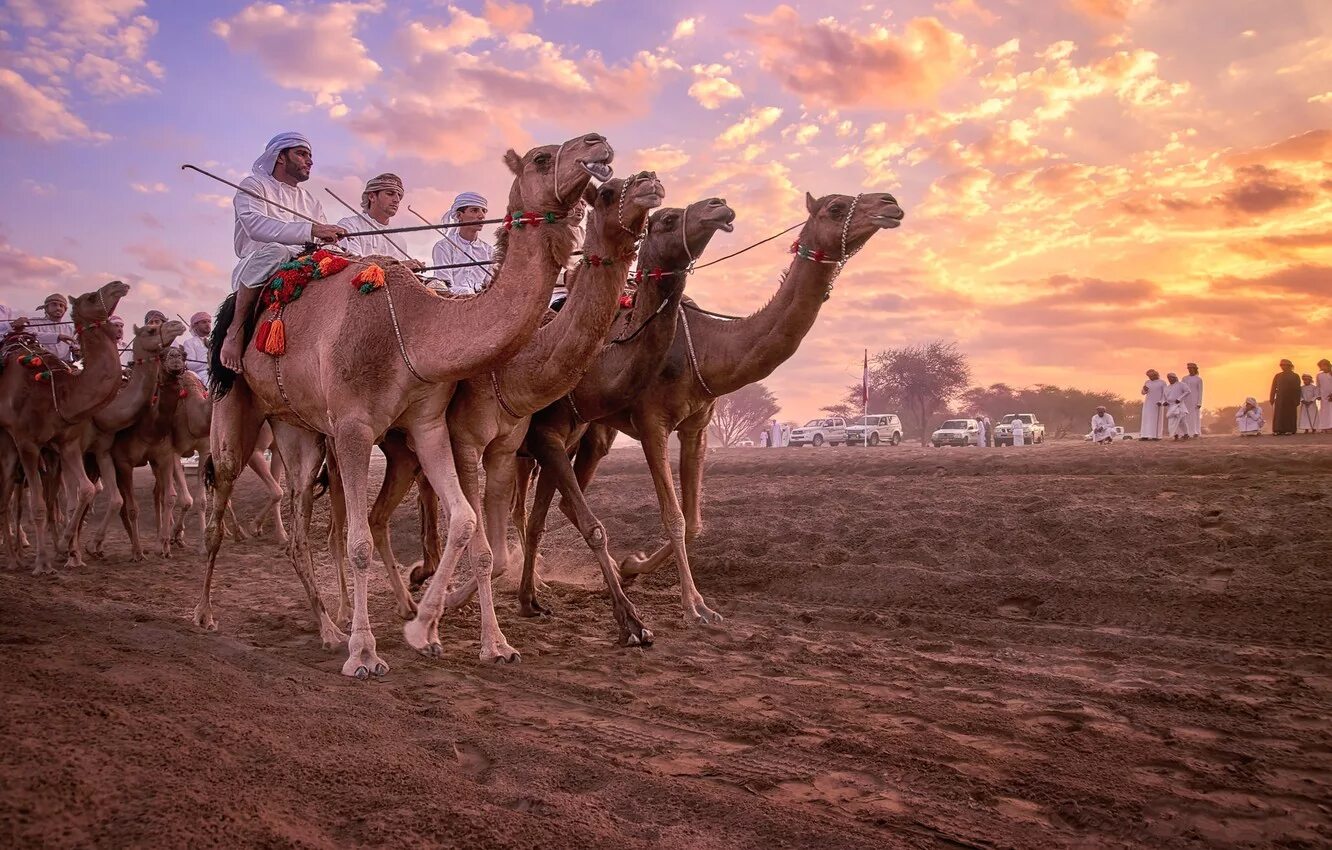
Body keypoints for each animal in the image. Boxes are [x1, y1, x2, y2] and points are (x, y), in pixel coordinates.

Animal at [0, 282, 129, 575]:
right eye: (91, 297)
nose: (120, 284)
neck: (57, 392)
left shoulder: (67, 443)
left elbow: (86, 490)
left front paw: (64, 549)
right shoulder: (27, 443)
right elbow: (37, 506)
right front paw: (42, 563)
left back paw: (15, 558)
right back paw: (15, 558)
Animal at [194, 133, 610, 679]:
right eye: (542, 157)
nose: (598, 144)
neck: (411, 330)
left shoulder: (428, 424)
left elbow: (465, 522)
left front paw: (461, 638)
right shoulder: (353, 427)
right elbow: (358, 544)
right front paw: (367, 653)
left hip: (297, 429)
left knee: (300, 527)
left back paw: (328, 630)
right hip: (236, 410)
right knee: (221, 504)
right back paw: (206, 615)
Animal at [554, 193, 905, 623]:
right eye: (836, 207)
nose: (890, 203)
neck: (705, 350)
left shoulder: (697, 424)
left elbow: (694, 522)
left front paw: (633, 565)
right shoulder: (652, 423)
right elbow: (674, 516)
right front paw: (694, 606)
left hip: (598, 427)